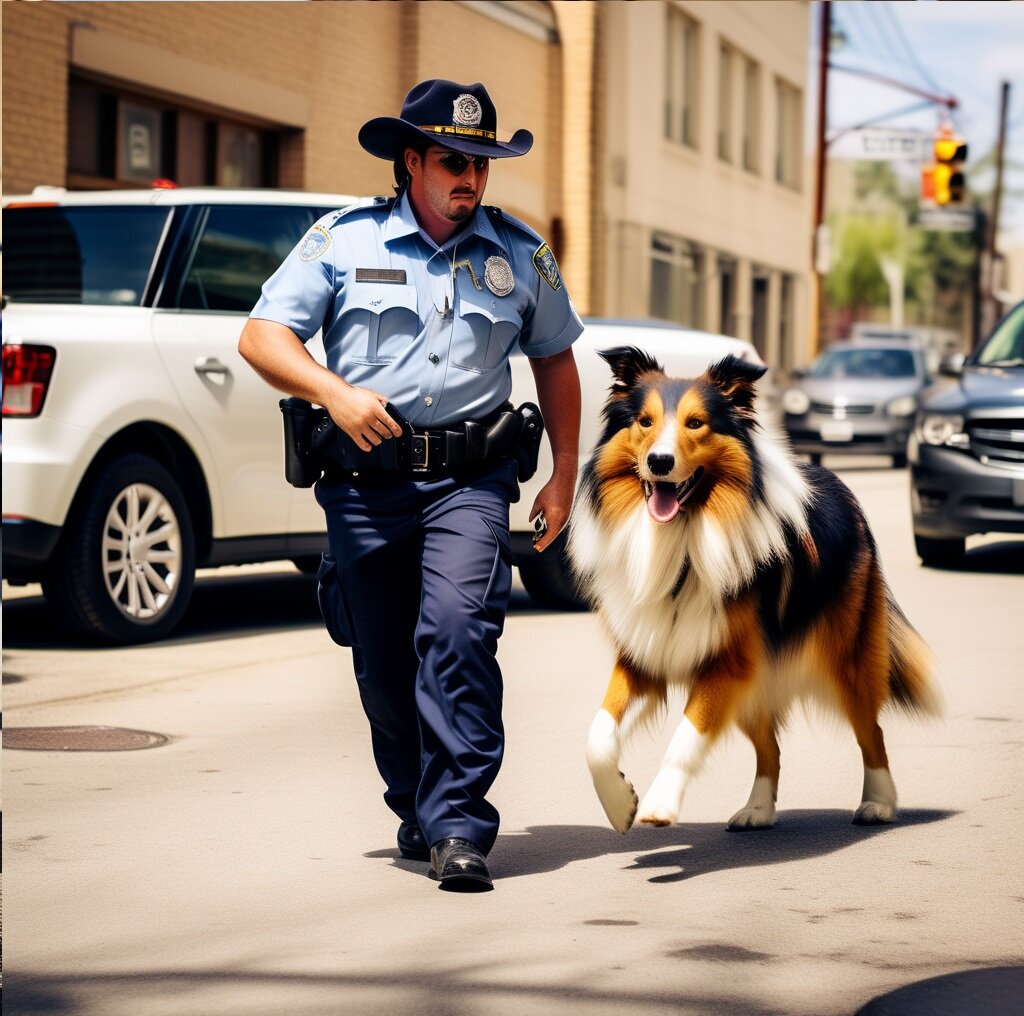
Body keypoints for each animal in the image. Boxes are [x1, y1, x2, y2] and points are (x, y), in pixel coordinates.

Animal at [573, 348, 937, 831]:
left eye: (695, 423)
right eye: (645, 422)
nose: (659, 462)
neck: (682, 540)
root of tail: (837, 481)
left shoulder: (728, 662)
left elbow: (685, 736)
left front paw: (659, 803)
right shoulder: (645, 656)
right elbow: (596, 736)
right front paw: (620, 804)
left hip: (846, 657)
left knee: (870, 730)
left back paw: (879, 803)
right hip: (760, 678)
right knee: (771, 746)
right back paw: (758, 810)